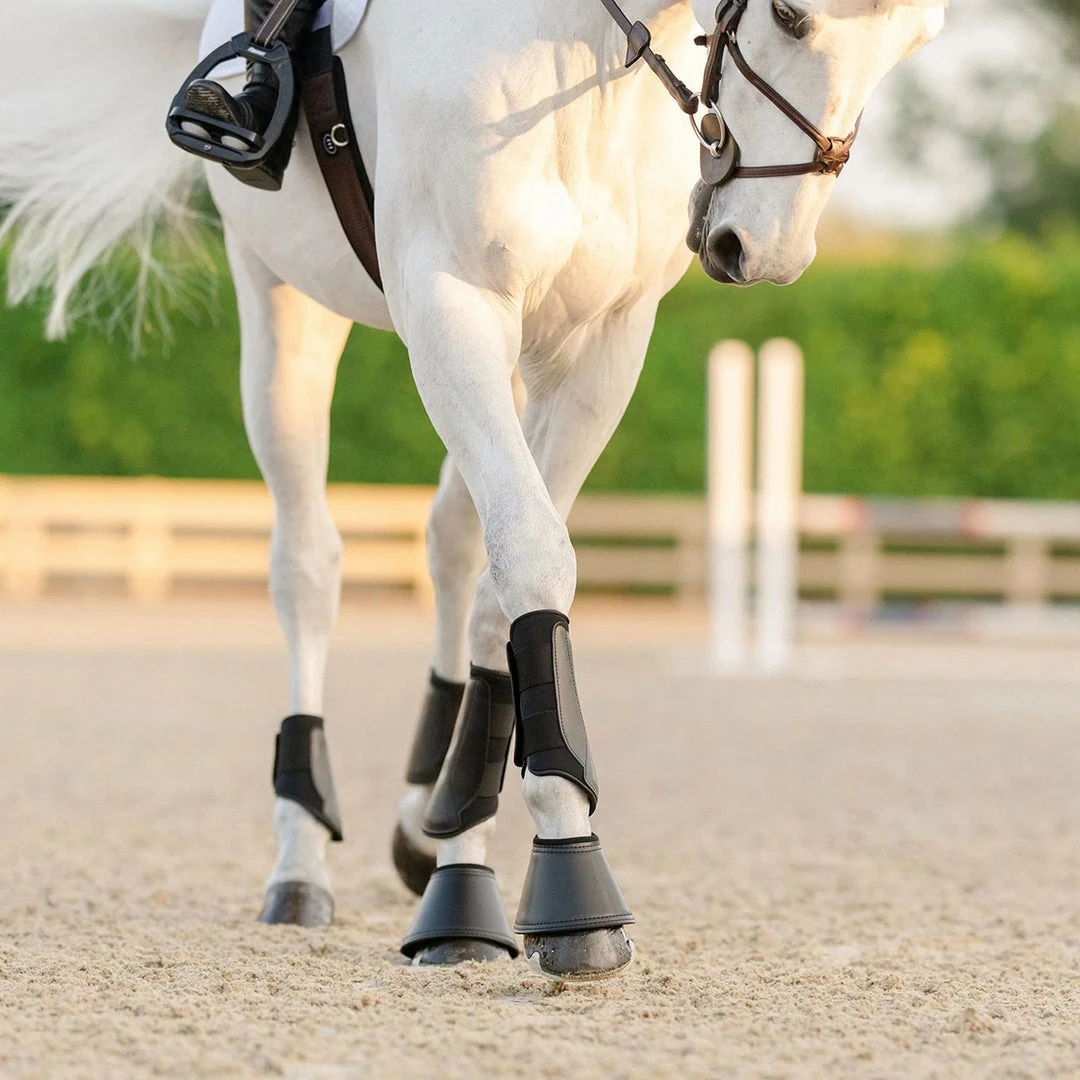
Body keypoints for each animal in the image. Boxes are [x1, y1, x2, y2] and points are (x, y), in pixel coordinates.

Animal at [0, 0, 946, 980]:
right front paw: (568, 888)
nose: (760, 250)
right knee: (308, 564)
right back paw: (301, 860)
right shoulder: (452, 305)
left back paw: (428, 812)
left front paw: (466, 852)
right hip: (284, 296)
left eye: (916, 46)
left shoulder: (601, 345)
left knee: (453, 541)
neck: (578, 58)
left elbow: (506, 585)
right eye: (790, 19)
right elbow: (531, 556)